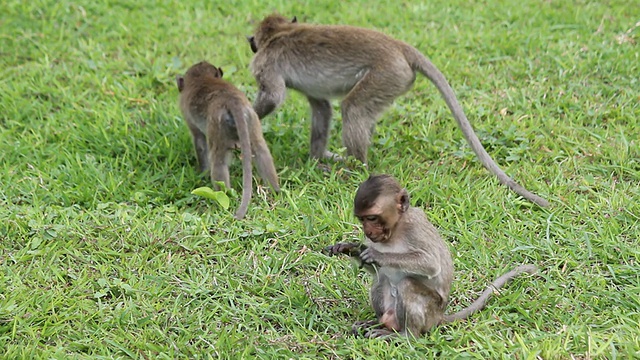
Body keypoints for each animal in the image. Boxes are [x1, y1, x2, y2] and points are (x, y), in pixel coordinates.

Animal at [250, 14, 552, 207]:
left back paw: (355, 168)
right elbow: (321, 108)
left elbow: (273, 98)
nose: (251, 41)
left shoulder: (266, 62)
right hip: (392, 81)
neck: (279, 33)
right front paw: (315, 158)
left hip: (387, 74)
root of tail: (399, 47)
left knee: (353, 109)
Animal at [322, 176, 536, 338]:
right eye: (362, 219)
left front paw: (378, 254)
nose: (368, 230)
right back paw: (376, 323)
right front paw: (348, 248)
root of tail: (439, 316)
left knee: (407, 284)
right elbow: (375, 270)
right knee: (380, 280)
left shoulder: (414, 228)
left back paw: (406, 336)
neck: (395, 229)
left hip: (431, 311)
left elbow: (431, 264)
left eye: (372, 218)